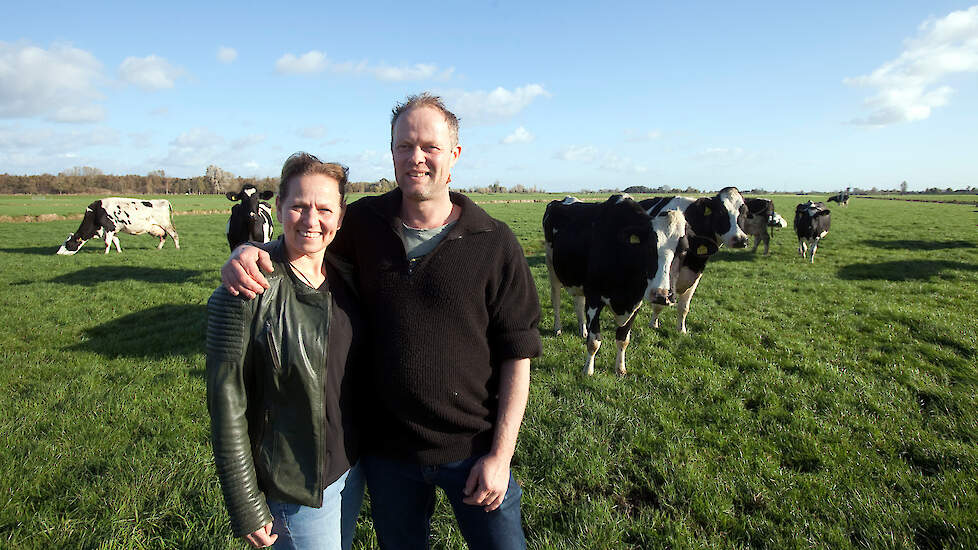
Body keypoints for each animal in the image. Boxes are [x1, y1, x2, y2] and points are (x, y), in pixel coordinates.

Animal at [540, 196, 688, 378]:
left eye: (684, 250)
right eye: (649, 247)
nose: (662, 295)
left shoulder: (636, 302)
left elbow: (623, 339)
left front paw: (620, 369)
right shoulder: (594, 298)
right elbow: (594, 342)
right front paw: (588, 370)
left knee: (578, 304)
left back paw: (582, 330)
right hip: (552, 268)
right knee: (556, 301)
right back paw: (558, 328)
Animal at [636, 189, 752, 336]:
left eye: (744, 213)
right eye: (721, 212)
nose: (740, 240)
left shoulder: (695, 275)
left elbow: (684, 307)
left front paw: (681, 330)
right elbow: (658, 304)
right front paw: (653, 324)